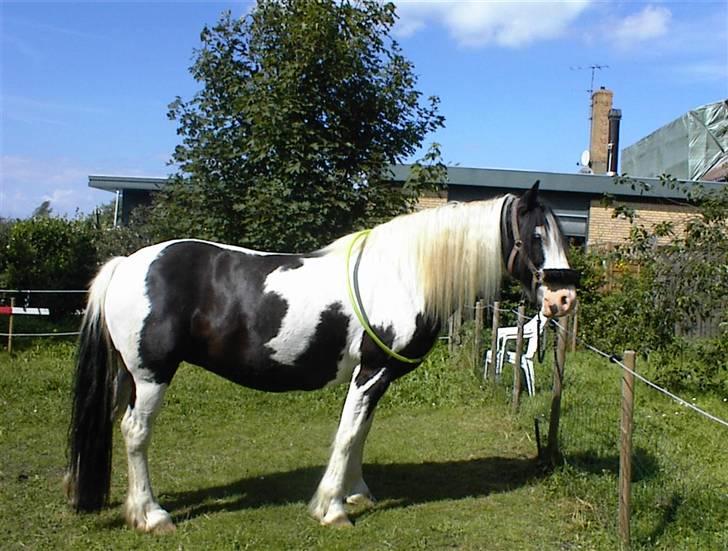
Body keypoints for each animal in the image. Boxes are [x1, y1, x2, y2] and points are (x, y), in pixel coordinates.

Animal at [64, 182, 576, 536]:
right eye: (535, 235)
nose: (564, 299)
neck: (405, 274)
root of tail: (127, 264)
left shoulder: (376, 378)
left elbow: (362, 433)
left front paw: (357, 493)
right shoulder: (371, 373)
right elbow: (348, 434)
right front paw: (332, 508)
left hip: (130, 377)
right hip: (151, 375)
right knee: (135, 432)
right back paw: (152, 515)